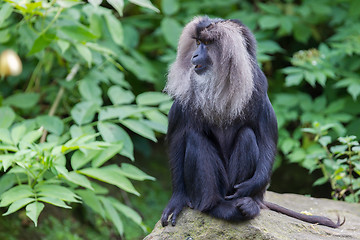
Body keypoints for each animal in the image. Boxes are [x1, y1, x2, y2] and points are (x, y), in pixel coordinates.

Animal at [160, 15, 344, 228]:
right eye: (197, 43)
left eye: (207, 44)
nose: (195, 55)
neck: (219, 82)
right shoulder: (185, 95)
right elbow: (178, 137)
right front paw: (178, 199)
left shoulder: (258, 84)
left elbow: (267, 136)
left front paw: (253, 184)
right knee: (195, 139)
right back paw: (217, 207)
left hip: (232, 188)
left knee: (247, 136)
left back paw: (249, 204)